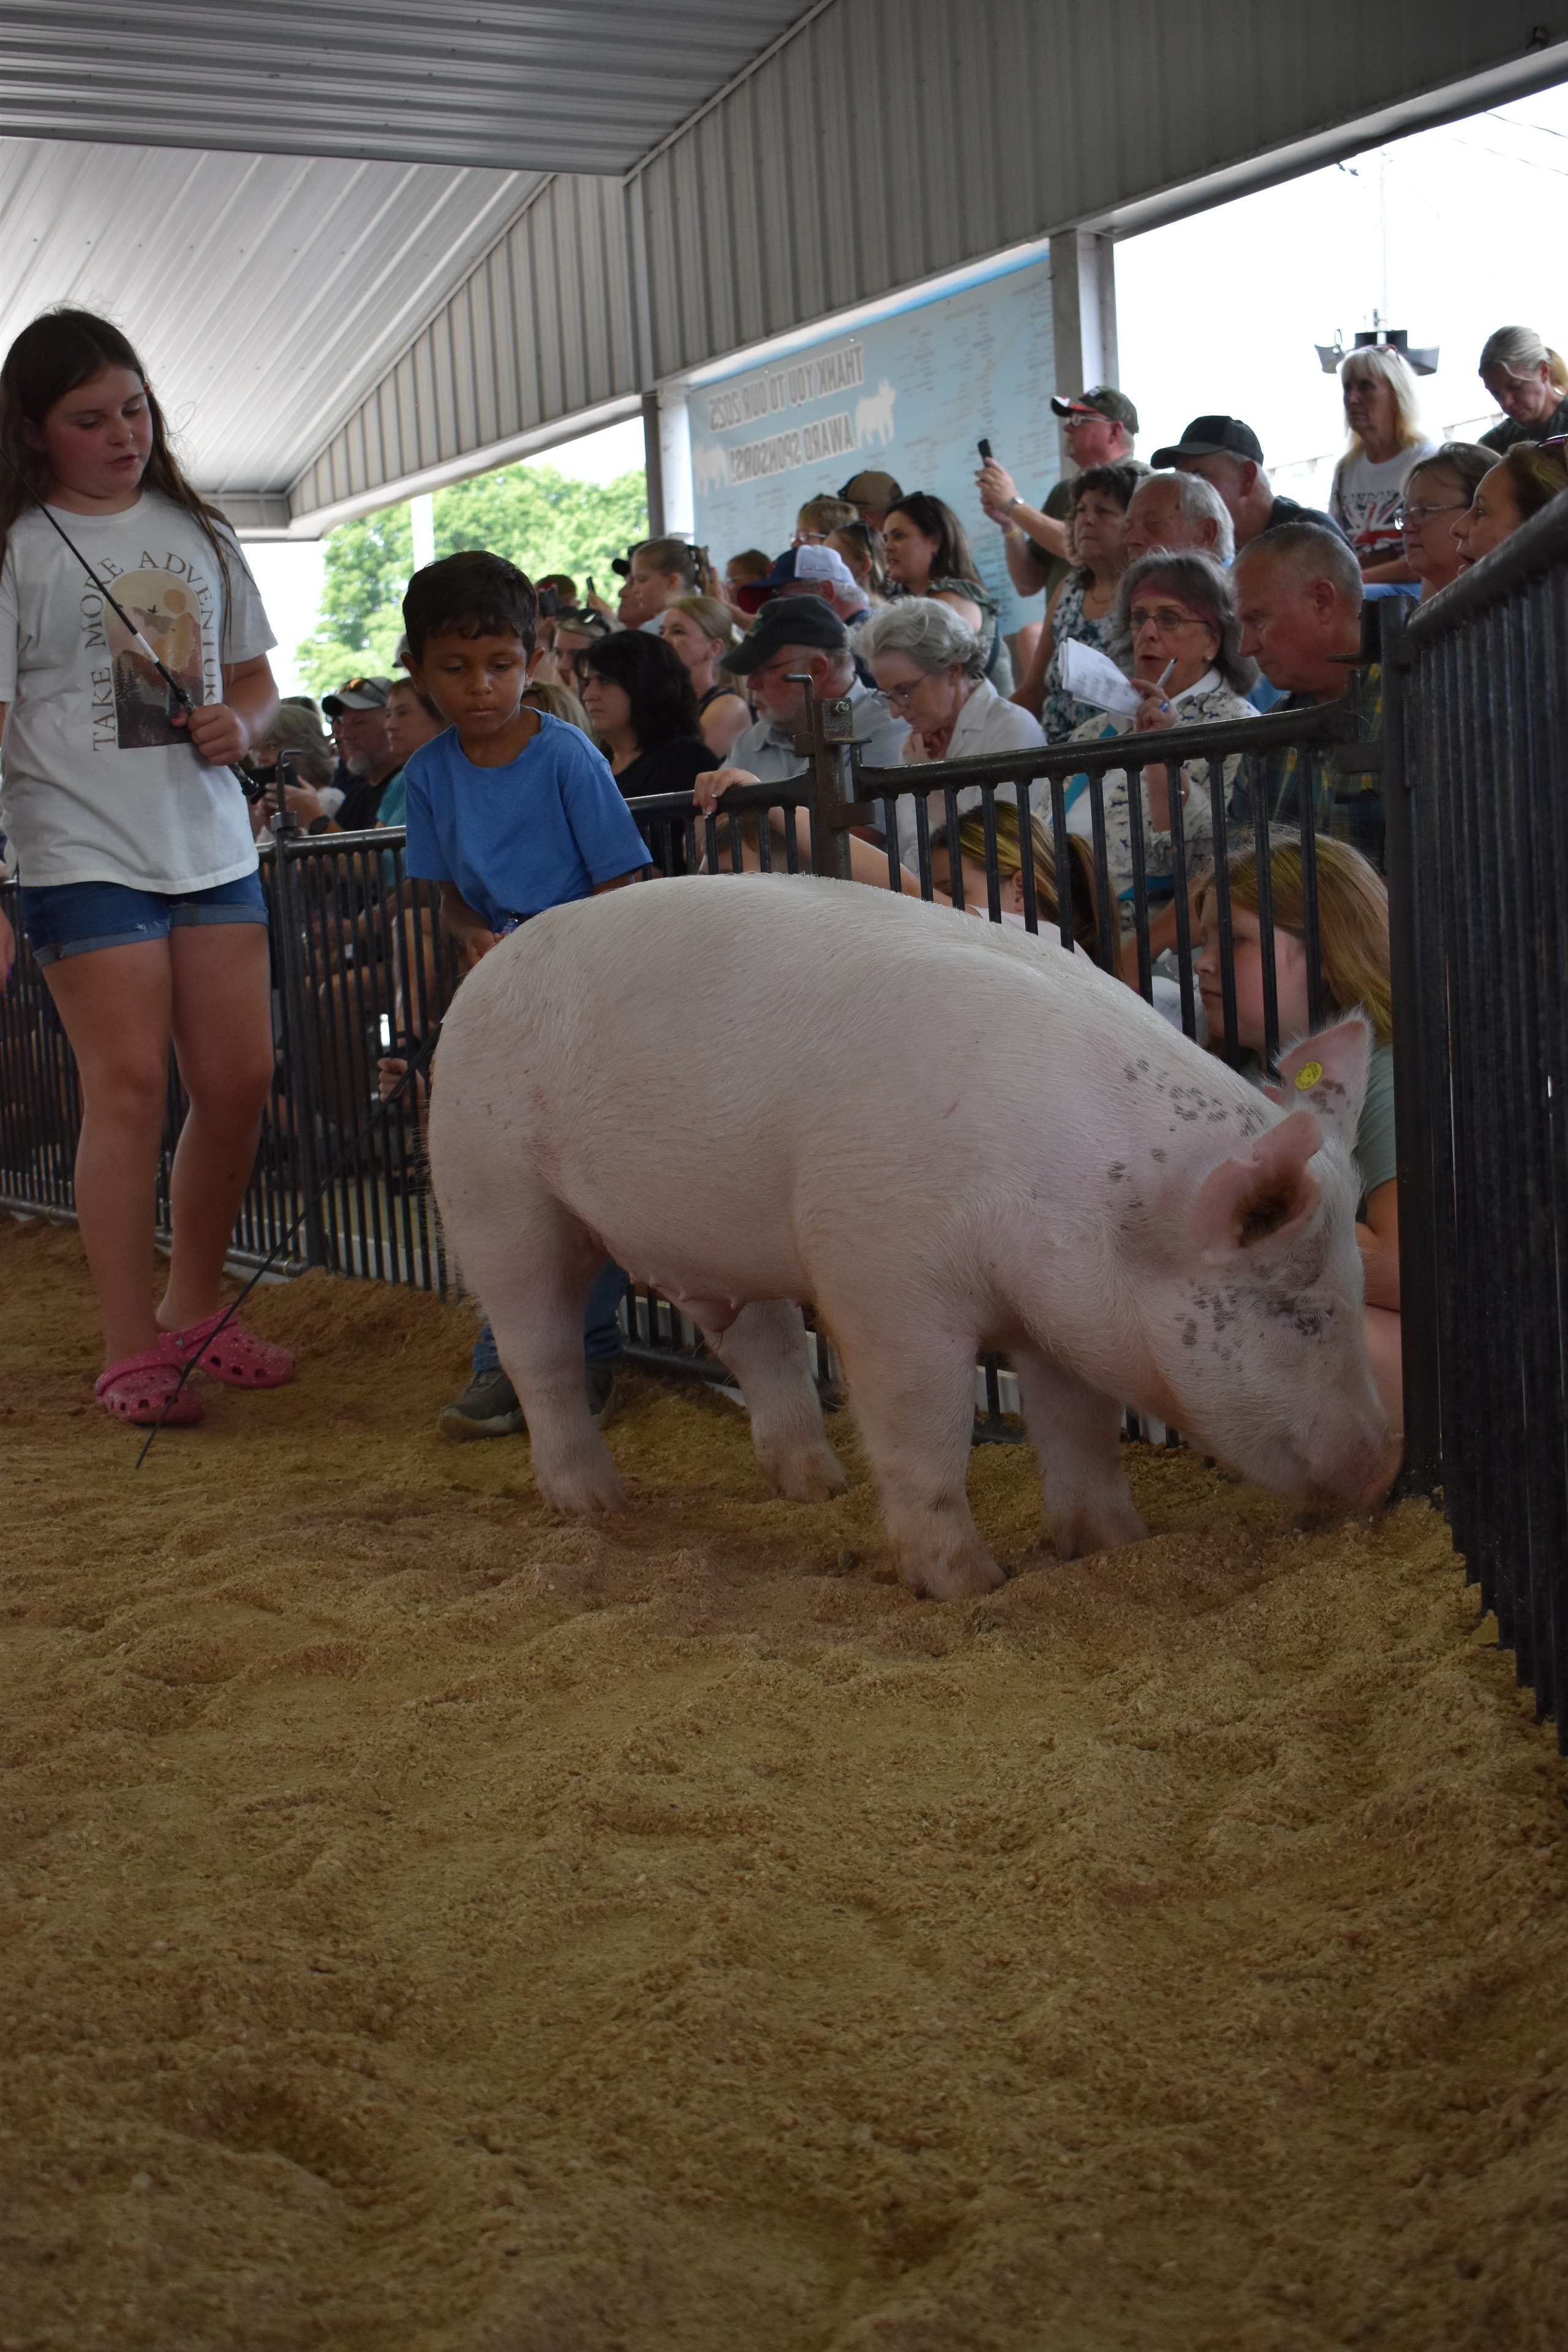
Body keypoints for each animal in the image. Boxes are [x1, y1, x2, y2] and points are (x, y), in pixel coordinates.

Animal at [427, 874, 1390, 1601]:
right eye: (1299, 1310)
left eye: (1351, 1287)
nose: (1379, 1469)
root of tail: (486, 965)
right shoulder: (879, 1276)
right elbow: (928, 1427)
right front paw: (971, 1586)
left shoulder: (1060, 1320)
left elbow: (1079, 1430)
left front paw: (1118, 1545)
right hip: (488, 1187)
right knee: (540, 1350)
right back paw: (596, 1505)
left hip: (732, 1240)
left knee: (764, 1345)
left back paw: (817, 1488)